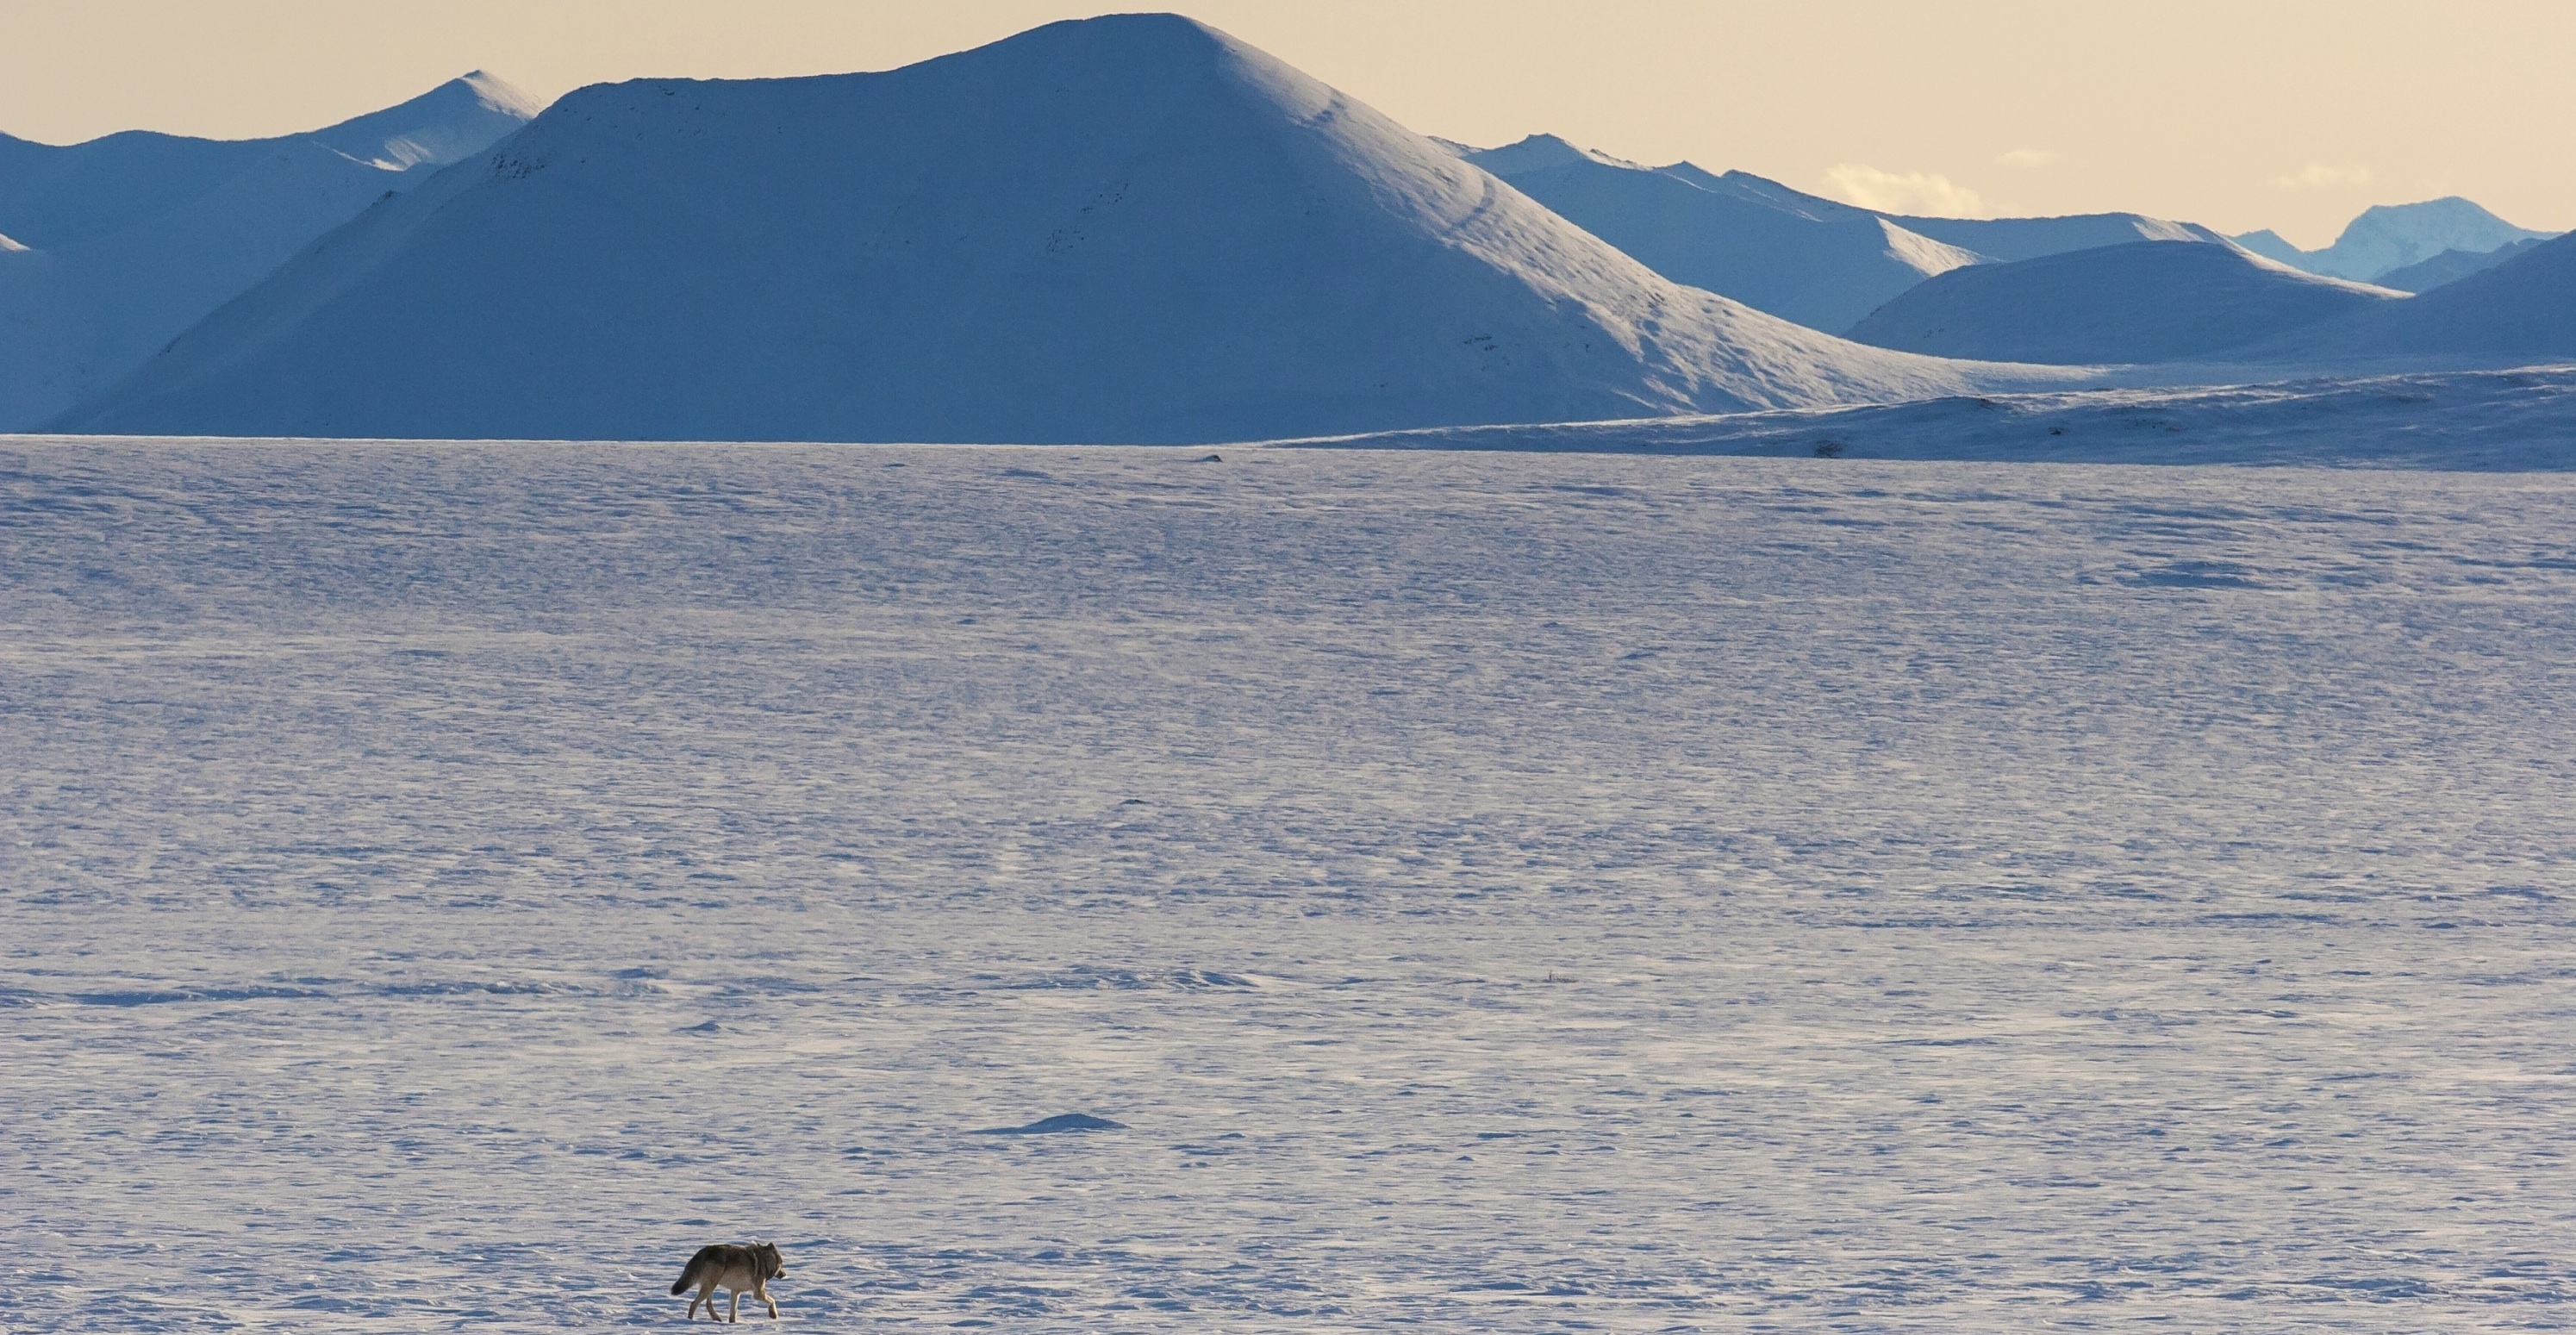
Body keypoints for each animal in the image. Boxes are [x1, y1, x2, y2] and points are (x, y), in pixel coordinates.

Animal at [664, 1247, 783, 1330]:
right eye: (782, 1264)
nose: (784, 1274)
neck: (765, 1260)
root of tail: (704, 1251)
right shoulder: (758, 1293)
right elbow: (773, 1301)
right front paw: (773, 1314)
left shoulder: (735, 1291)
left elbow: (733, 1314)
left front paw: (733, 1324)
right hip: (710, 1286)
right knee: (693, 1303)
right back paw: (690, 1322)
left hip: (711, 1286)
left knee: (708, 1304)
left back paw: (716, 1319)